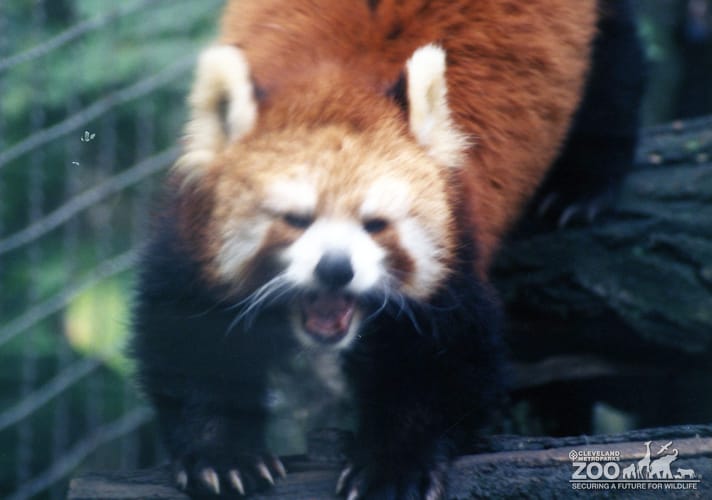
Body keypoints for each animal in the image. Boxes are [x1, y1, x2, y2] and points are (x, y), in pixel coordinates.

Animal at [131, 0, 645, 498]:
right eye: (296, 219)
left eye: (376, 224)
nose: (336, 268)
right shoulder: (191, 242)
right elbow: (190, 341)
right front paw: (223, 456)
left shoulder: (454, 245)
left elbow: (445, 362)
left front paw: (394, 465)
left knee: (616, 63)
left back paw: (581, 187)